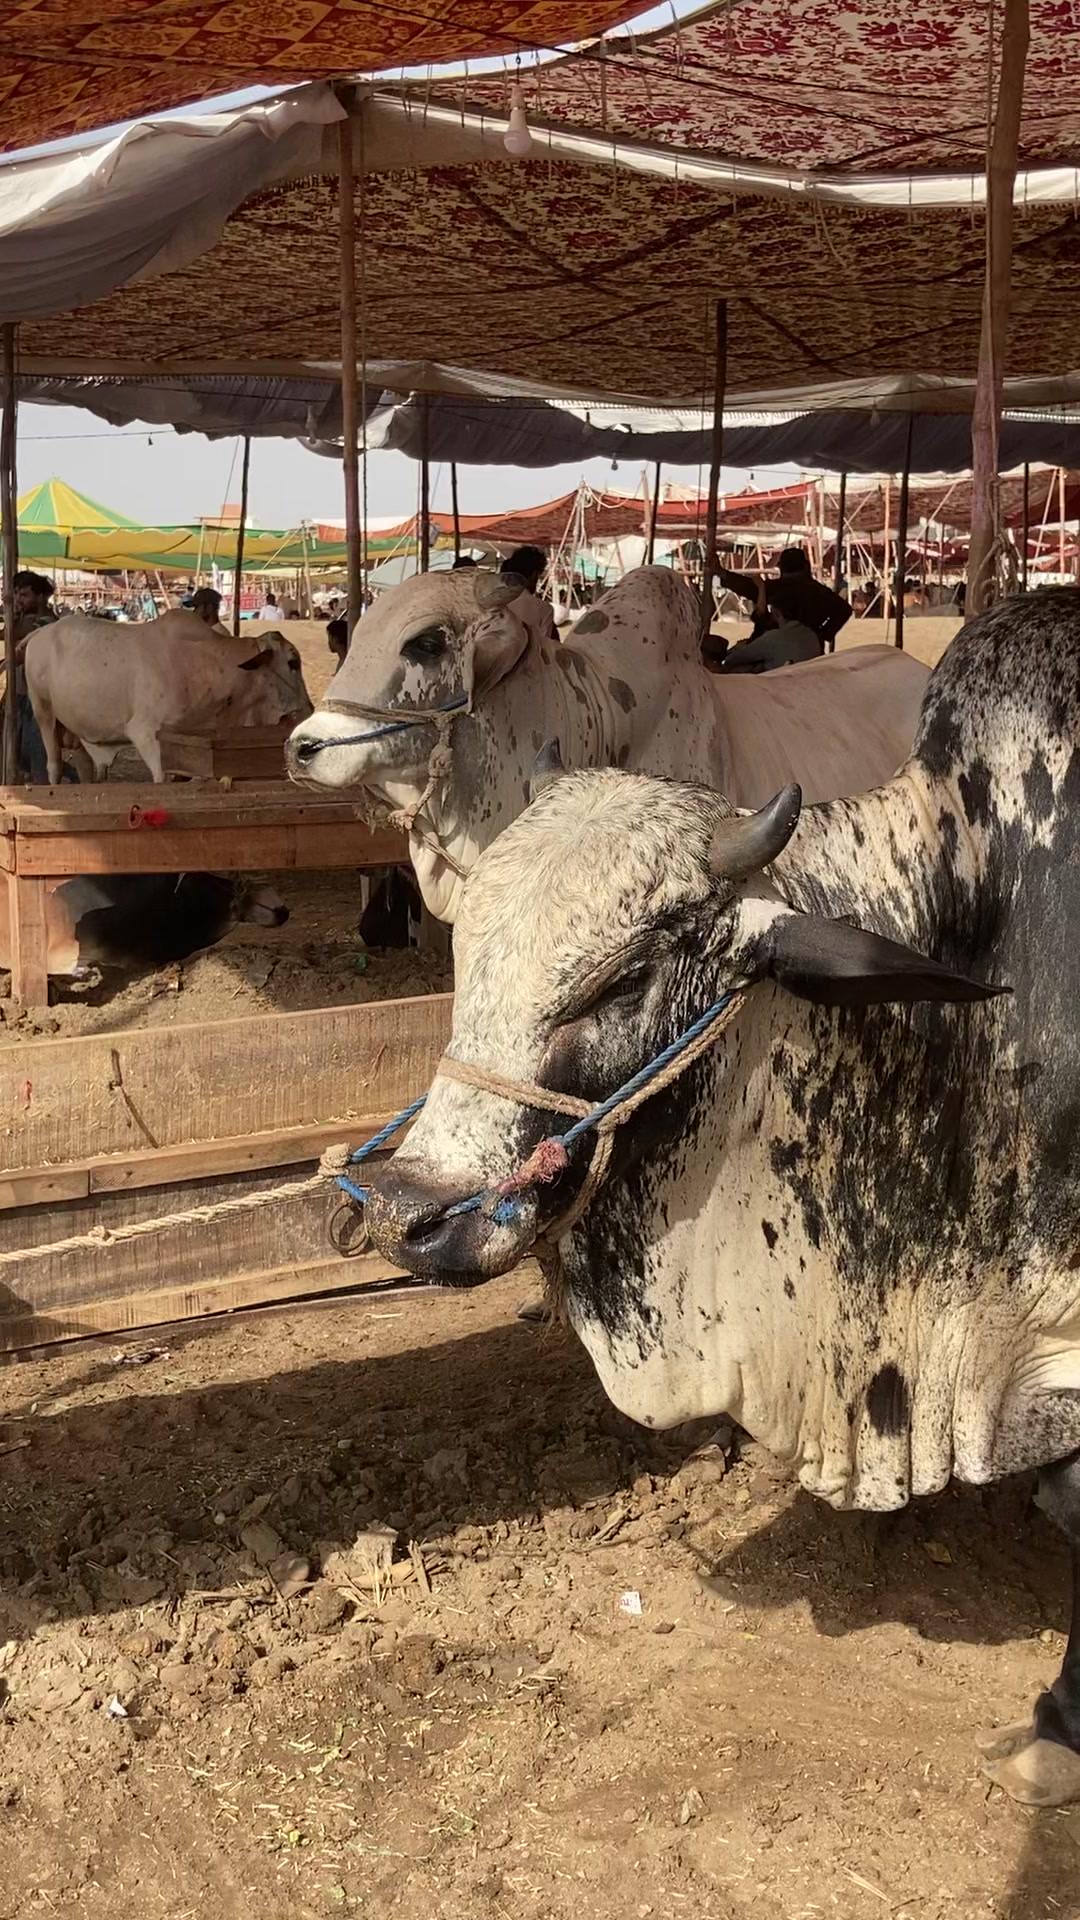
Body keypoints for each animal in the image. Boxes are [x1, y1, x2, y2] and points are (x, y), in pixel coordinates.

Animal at [25, 612, 313, 784]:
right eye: (293, 662)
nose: (309, 709)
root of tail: (39, 633)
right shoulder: (147, 734)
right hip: (44, 714)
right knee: (54, 765)